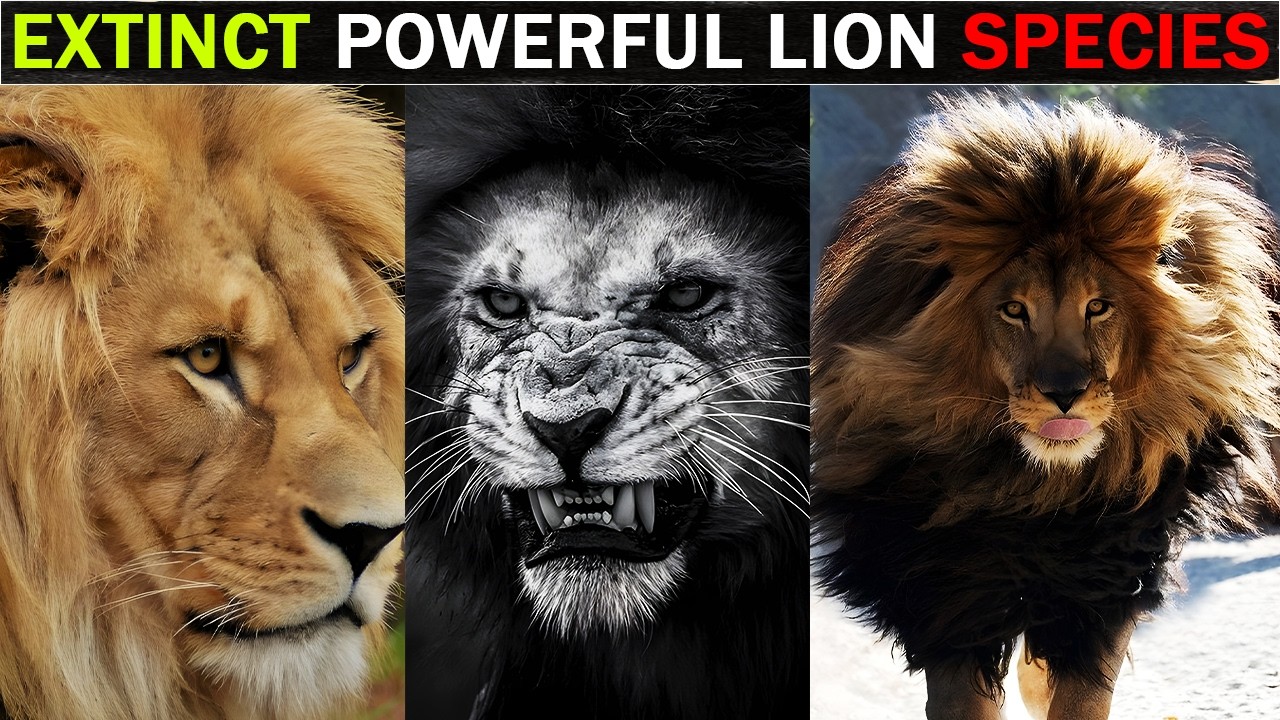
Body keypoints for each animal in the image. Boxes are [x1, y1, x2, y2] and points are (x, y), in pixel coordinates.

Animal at [811, 94, 1280, 719]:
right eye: (1014, 311)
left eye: (1098, 306)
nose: (1065, 393)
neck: (1032, 489)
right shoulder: (949, 594)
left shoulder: (1104, 587)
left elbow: (1077, 695)